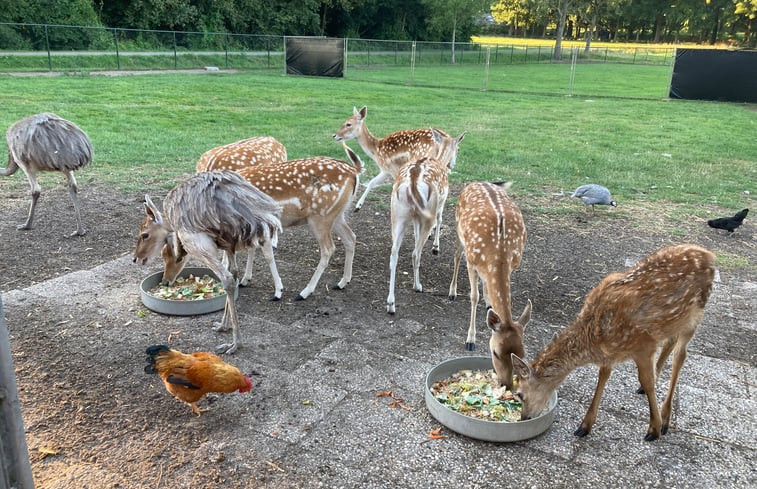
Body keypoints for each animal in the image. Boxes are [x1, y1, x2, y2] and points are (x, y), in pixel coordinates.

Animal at [131, 170, 282, 352]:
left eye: (145, 235)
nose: (136, 258)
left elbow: (228, 277)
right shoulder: (228, 246)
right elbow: (234, 272)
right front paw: (223, 325)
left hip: (200, 244)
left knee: (227, 279)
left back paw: (235, 344)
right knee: (232, 276)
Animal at [328, 106, 458, 211]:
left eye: (348, 124)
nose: (334, 135)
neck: (376, 151)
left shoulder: (391, 168)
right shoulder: (384, 170)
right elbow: (371, 183)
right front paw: (357, 206)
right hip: (448, 165)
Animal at [386, 130, 464, 312]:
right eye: (458, 148)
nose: (453, 165)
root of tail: (412, 182)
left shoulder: (416, 217)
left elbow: (415, 233)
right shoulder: (441, 201)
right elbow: (440, 219)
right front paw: (436, 247)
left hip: (397, 213)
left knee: (394, 254)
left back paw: (391, 304)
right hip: (428, 210)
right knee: (416, 252)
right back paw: (417, 286)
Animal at [446, 179, 528, 388]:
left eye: (522, 353)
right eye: (495, 353)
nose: (506, 384)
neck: (499, 251)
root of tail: (478, 182)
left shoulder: (513, 265)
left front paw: (490, 305)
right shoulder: (472, 262)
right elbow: (473, 297)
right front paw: (470, 340)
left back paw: (489, 304)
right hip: (458, 228)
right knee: (456, 254)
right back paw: (452, 292)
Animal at [508, 242, 716, 440]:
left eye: (520, 394)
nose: (524, 418)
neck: (594, 334)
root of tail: (710, 256)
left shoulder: (643, 344)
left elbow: (647, 380)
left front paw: (654, 428)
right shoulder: (609, 353)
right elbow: (603, 376)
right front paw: (585, 426)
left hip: (695, 315)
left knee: (680, 357)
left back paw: (665, 418)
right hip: (673, 322)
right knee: (670, 343)